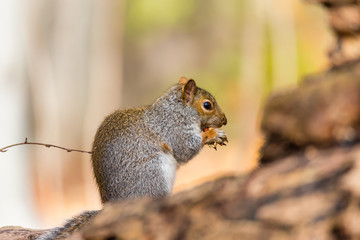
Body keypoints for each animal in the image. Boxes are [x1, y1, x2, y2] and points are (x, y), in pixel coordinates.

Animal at [35, 78, 228, 239]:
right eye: (207, 105)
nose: (224, 120)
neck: (176, 110)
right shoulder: (173, 129)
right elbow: (186, 149)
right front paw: (212, 134)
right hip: (152, 178)